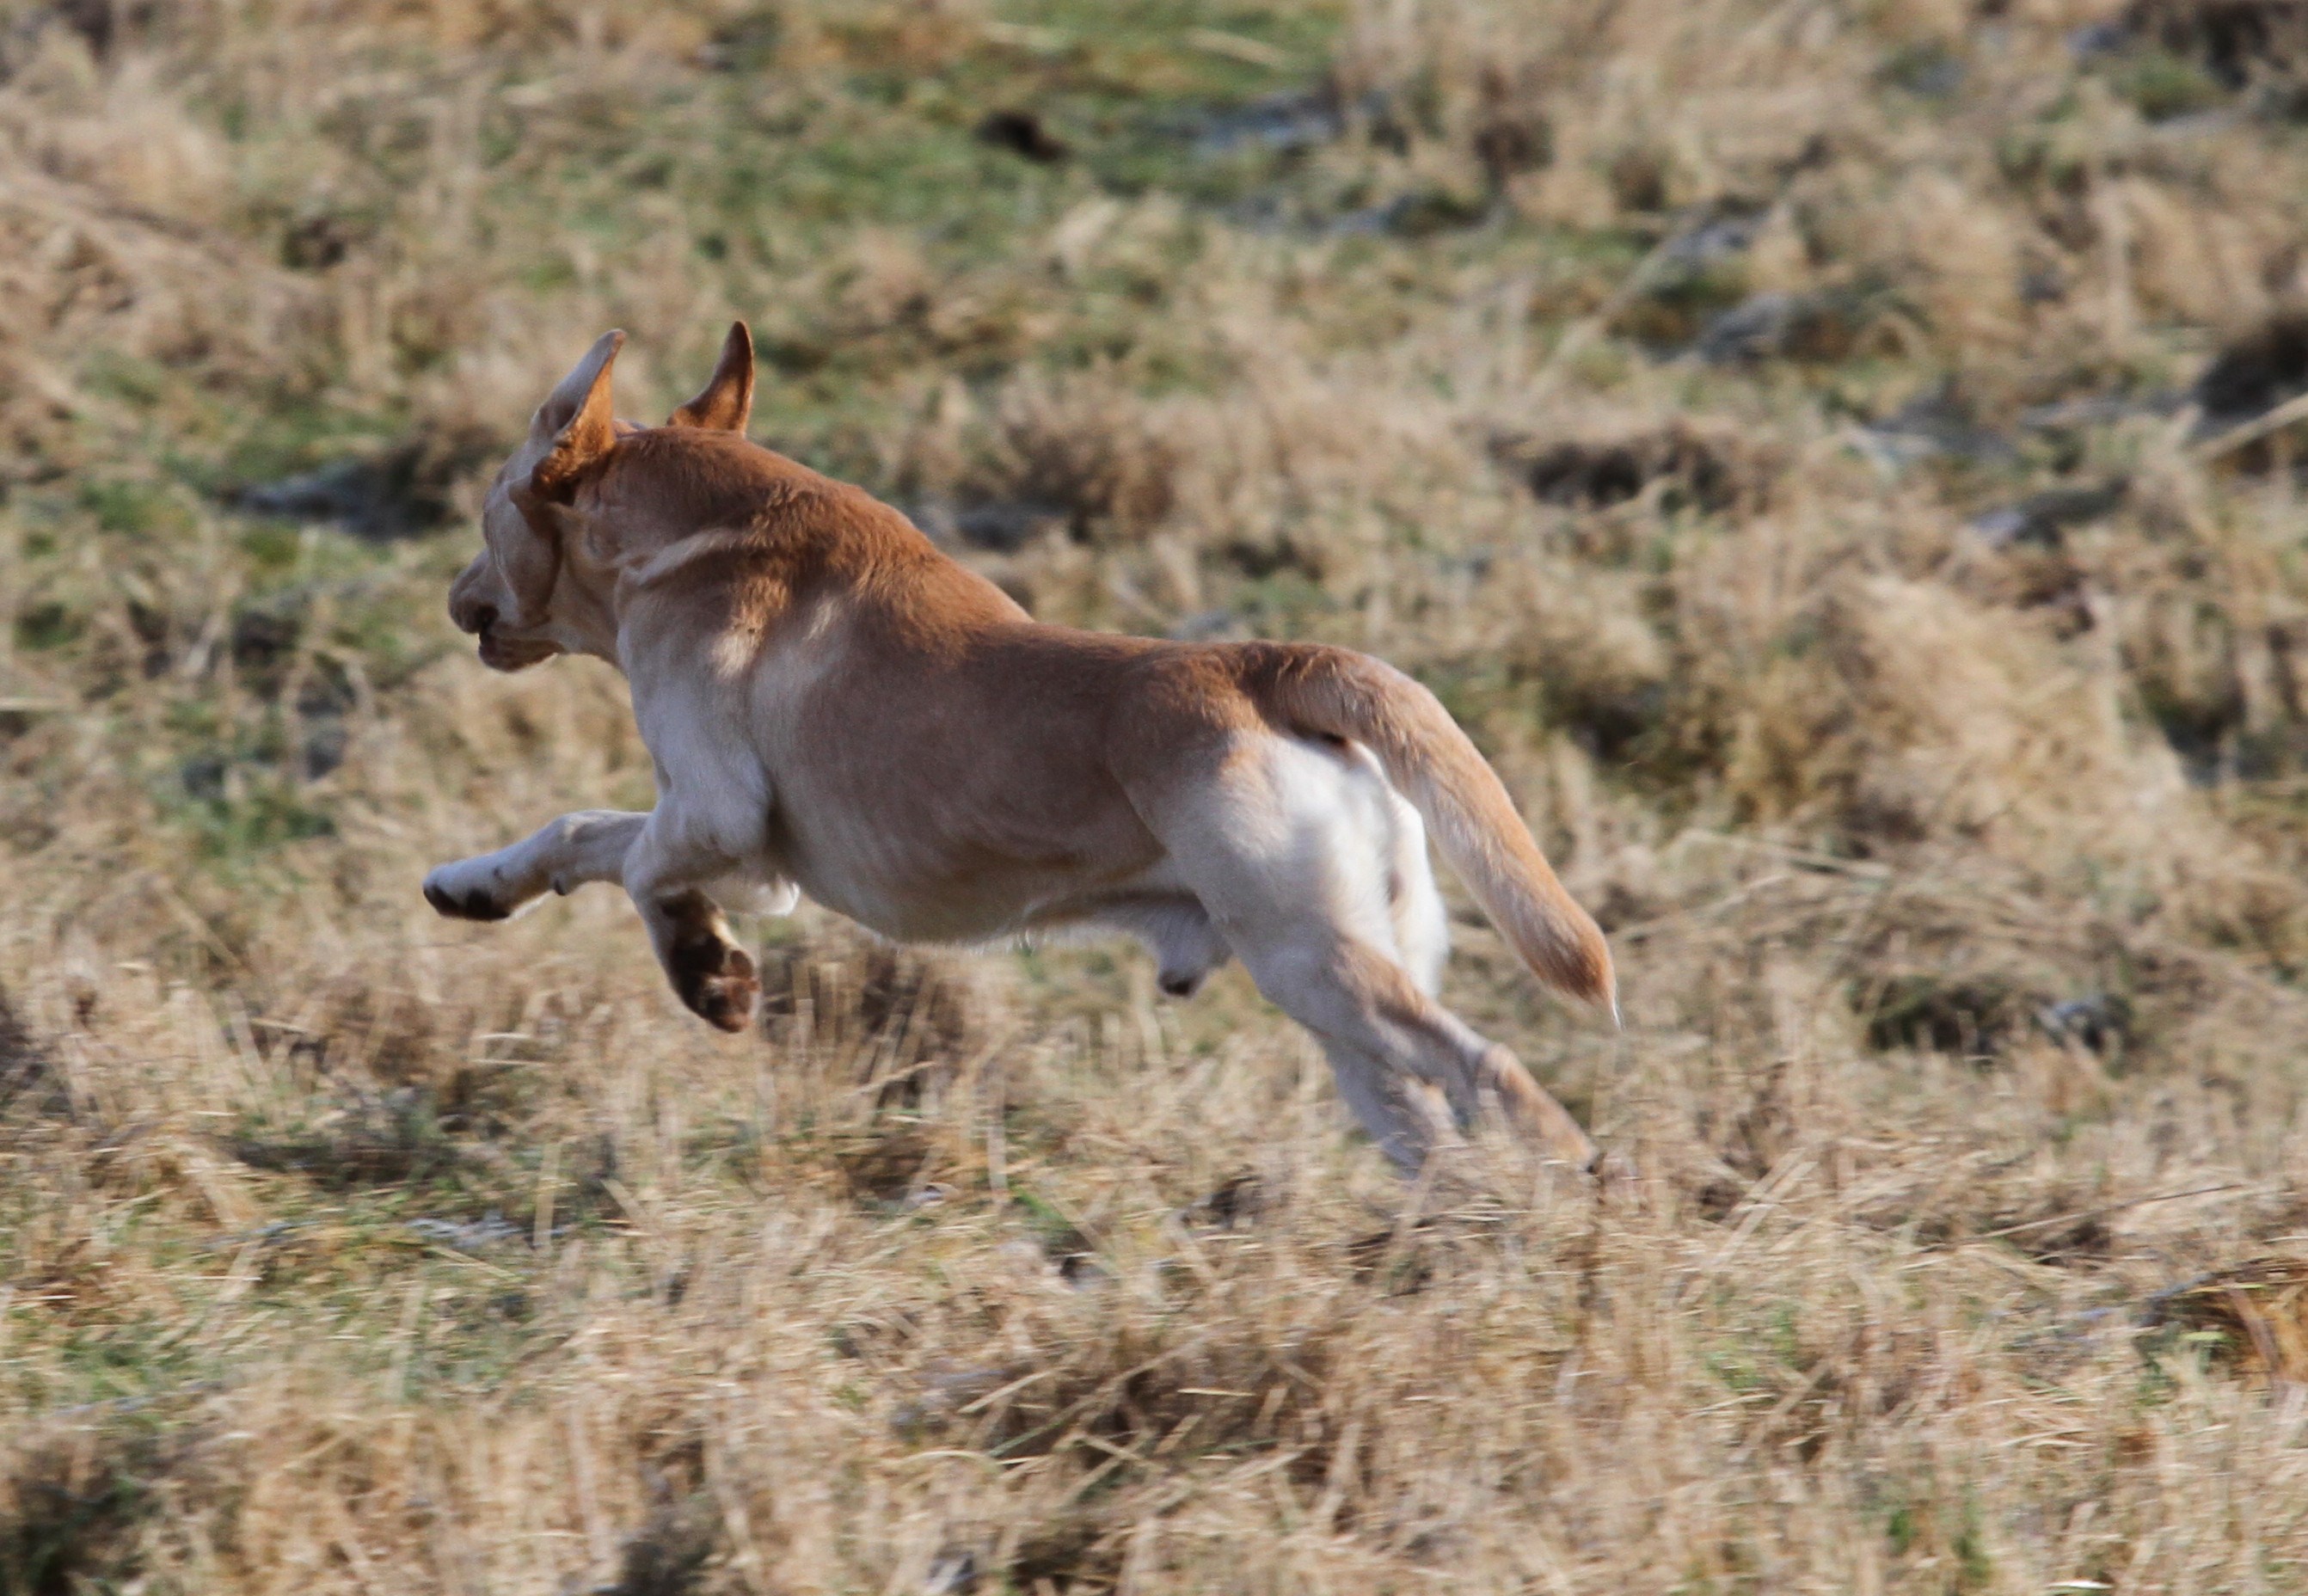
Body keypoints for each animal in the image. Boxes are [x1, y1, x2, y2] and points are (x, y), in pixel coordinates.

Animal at [429, 327, 1624, 1171]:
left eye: (487, 508)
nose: (453, 598)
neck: (687, 538)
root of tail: (1262, 665)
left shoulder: (723, 821)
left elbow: (628, 860)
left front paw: (704, 967)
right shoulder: (732, 844)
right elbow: (571, 834)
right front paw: (472, 883)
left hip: (1319, 967)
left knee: (1499, 1074)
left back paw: (1571, 1190)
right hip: (1352, 1013)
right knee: (1441, 1148)